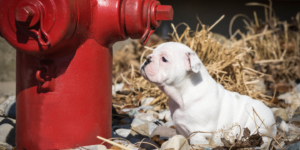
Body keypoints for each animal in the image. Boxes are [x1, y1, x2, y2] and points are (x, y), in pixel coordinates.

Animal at [141, 42, 276, 148]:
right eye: (152, 53)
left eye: (164, 59)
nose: (147, 59)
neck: (183, 93)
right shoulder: (180, 128)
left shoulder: (199, 133)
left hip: (261, 130)